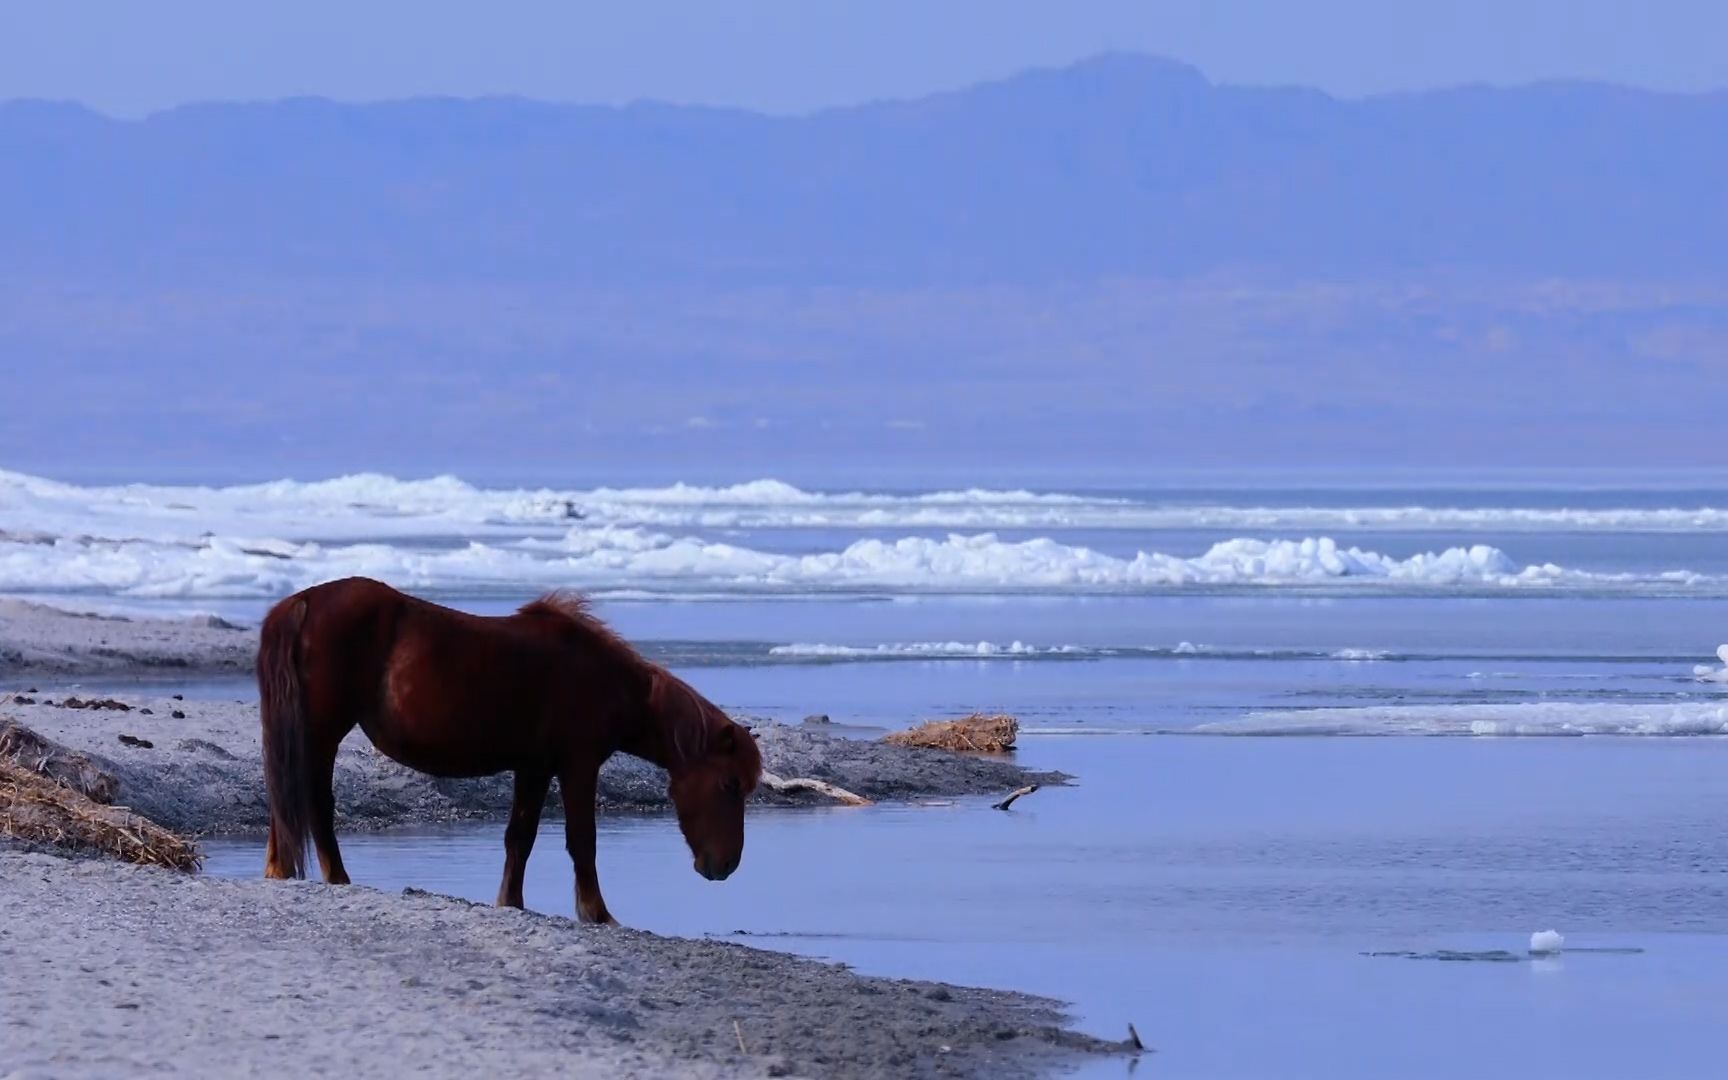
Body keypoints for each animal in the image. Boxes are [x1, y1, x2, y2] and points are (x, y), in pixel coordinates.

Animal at [252, 577, 760, 919]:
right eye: (729, 785)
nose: (726, 866)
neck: (602, 680)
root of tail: (301, 603)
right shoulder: (578, 765)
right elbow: (583, 840)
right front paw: (597, 914)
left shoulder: (534, 767)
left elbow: (520, 838)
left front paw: (511, 902)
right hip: (321, 734)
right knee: (314, 804)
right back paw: (337, 878)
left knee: (285, 800)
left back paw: (280, 871)